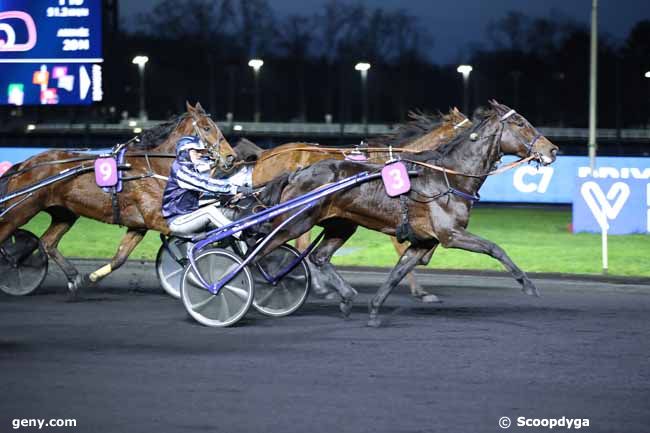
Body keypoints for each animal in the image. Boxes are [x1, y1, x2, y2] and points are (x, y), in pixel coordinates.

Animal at [0, 103, 237, 296]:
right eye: (206, 127)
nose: (231, 156)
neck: (151, 166)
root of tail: (25, 164)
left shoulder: (139, 225)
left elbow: (120, 257)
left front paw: (93, 277)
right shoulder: (158, 219)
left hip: (65, 213)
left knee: (47, 242)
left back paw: (72, 276)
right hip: (20, 211)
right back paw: (13, 264)